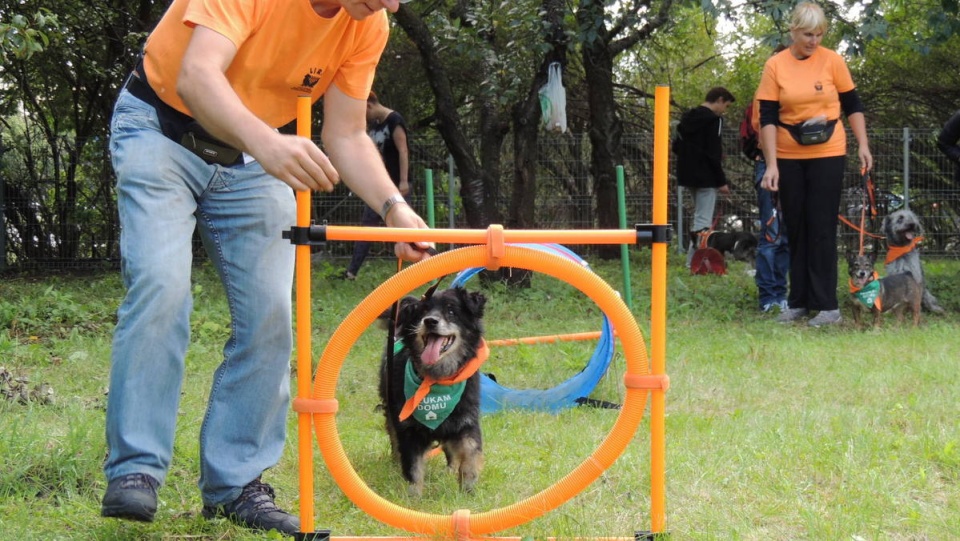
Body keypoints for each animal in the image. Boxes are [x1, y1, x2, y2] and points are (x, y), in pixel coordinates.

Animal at [376, 286, 488, 498]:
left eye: (451, 311)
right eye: (423, 311)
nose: (430, 321)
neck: (437, 378)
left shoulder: (466, 419)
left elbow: (471, 450)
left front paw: (468, 486)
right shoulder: (408, 428)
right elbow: (413, 466)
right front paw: (414, 497)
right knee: (394, 438)